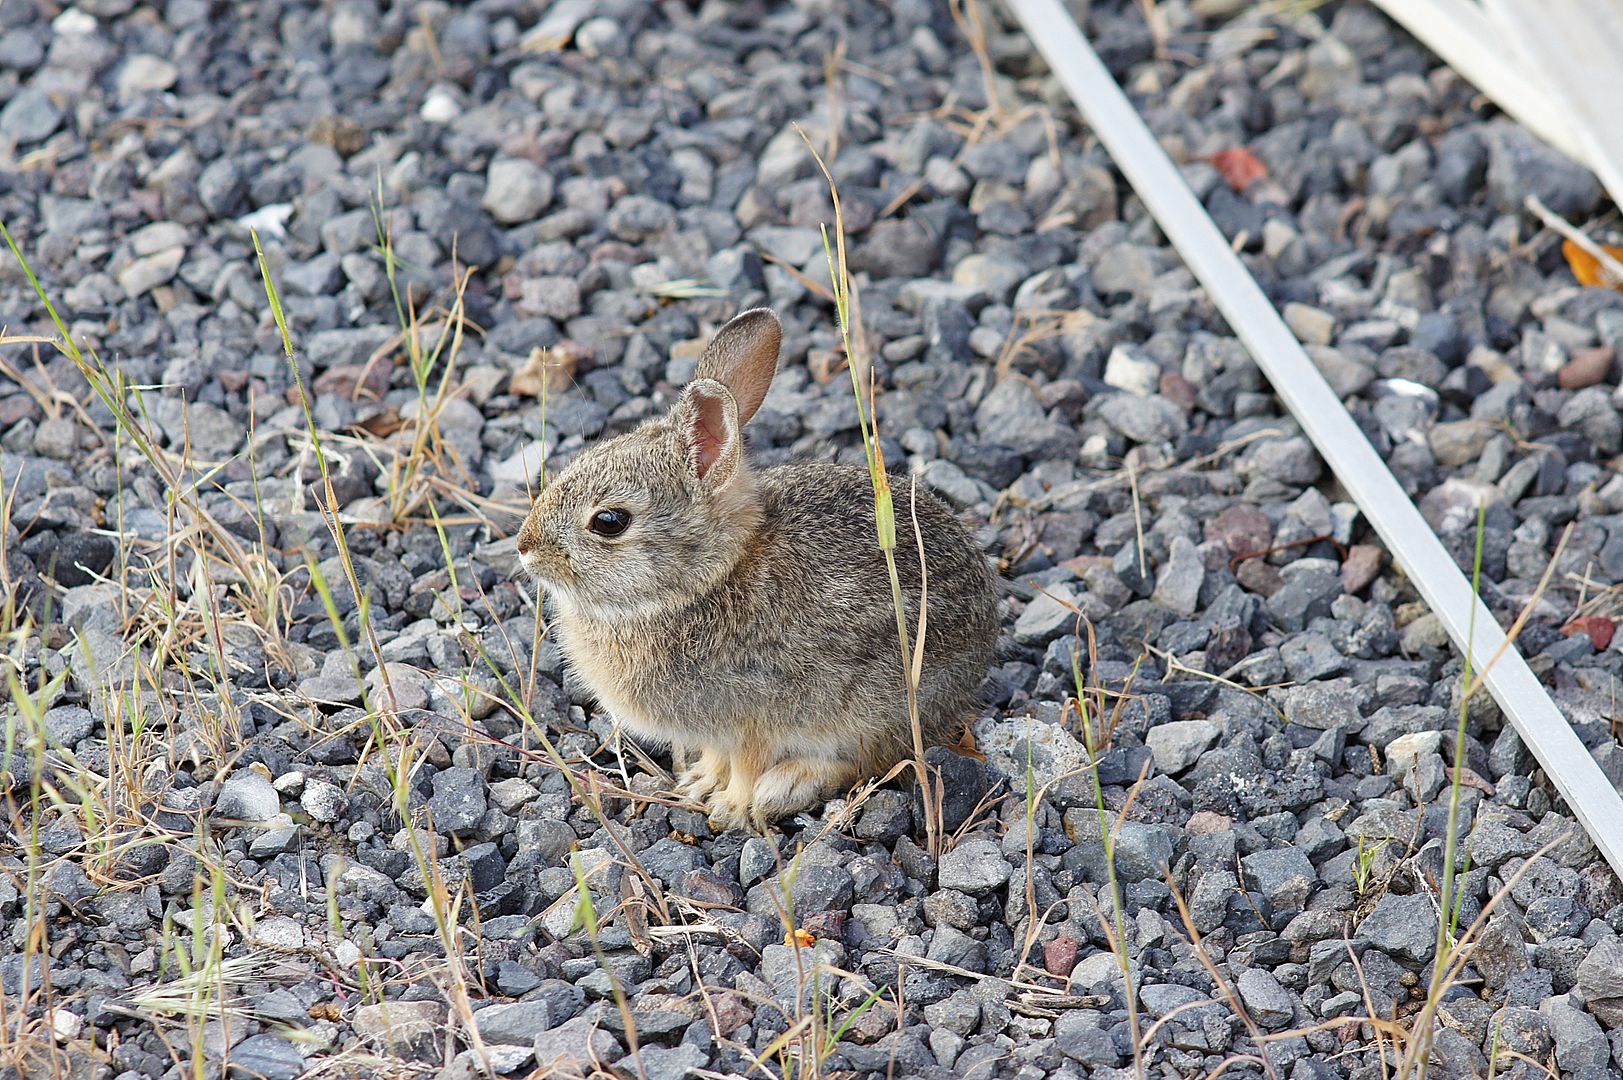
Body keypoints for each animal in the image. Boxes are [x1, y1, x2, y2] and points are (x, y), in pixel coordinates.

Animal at [515, 308, 999, 832]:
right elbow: (717, 760)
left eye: (609, 521)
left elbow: (747, 766)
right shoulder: (718, 732)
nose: (525, 548)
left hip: (878, 713)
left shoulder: (755, 718)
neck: (704, 582)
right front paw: (700, 784)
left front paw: (730, 808)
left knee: (865, 763)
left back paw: (785, 787)